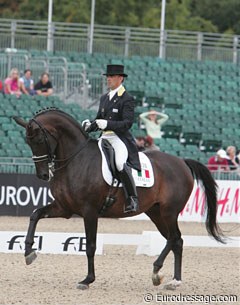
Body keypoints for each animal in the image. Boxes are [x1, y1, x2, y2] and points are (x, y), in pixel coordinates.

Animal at [13, 108, 223, 288]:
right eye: (28, 142)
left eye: (39, 139)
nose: (43, 175)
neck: (76, 159)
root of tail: (182, 162)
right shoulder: (64, 208)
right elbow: (35, 214)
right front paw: (29, 252)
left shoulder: (89, 211)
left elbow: (90, 246)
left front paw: (88, 279)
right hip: (156, 213)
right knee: (176, 240)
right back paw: (173, 280)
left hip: (169, 211)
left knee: (173, 238)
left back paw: (158, 271)